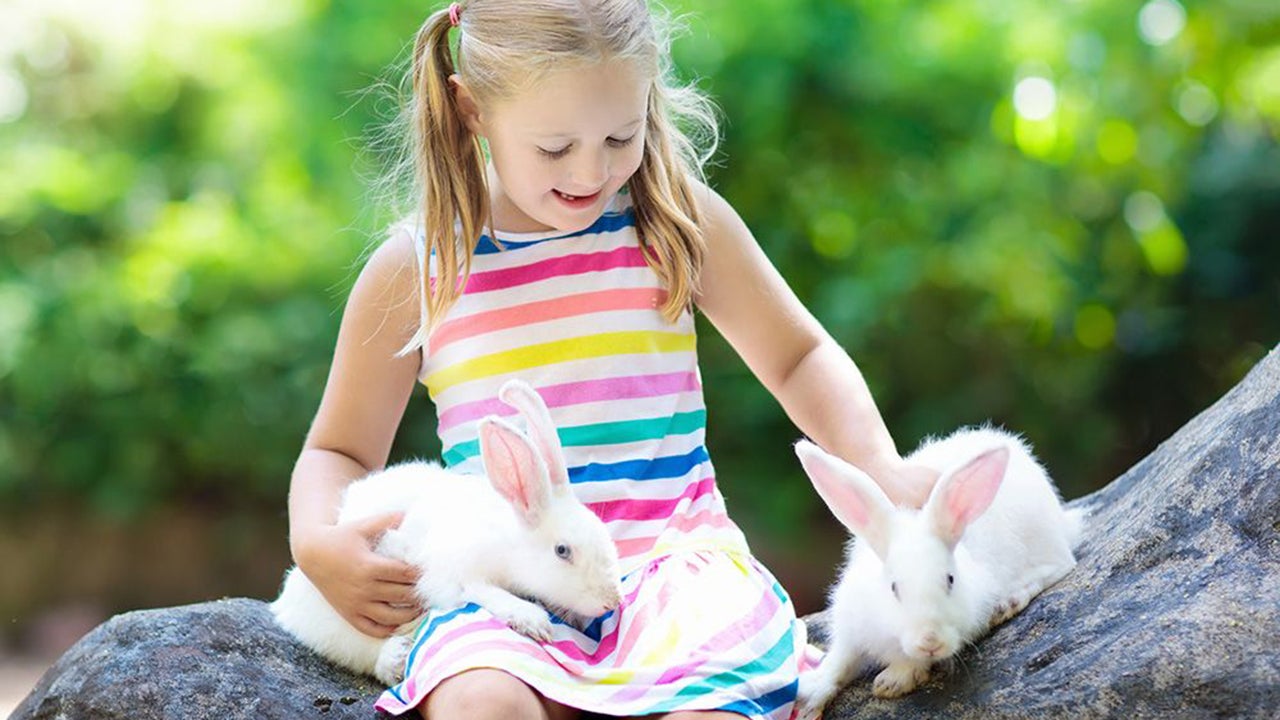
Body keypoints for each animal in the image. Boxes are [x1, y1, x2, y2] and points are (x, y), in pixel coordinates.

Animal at [271, 379, 625, 686]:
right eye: (562, 551)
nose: (611, 602)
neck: (508, 537)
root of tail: (286, 603)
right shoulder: (455, 570)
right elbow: (480, 589)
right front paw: (532, 620)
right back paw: (395, 658)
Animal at [792, 426, 1083, 717]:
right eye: (894, 588)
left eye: (950, 580)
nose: (930, 640)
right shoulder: (851, 624)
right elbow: (839, 661)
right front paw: (811, 698)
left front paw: (893, 681)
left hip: (1042, 540)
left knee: (1060, 564)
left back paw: (1008, 602)